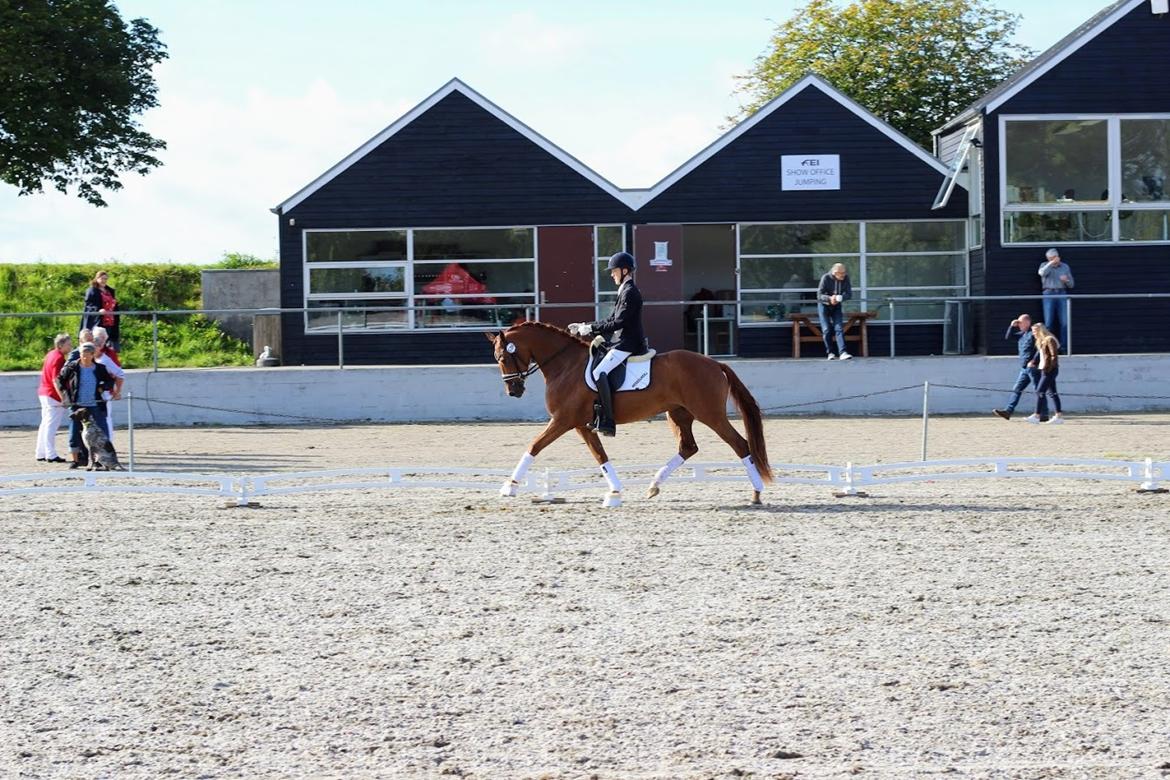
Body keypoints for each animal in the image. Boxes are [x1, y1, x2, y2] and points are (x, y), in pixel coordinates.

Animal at [486, 322, 772, 507]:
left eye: (502, 357)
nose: (513, 390)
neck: (564, 365)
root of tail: (715, 363)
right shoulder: (582, 425)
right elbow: (600, 456)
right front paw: (614, 492)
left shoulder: (563, 420)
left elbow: (534, 446)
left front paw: (509, 486)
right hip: (678, 414)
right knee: (688, 447)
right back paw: (654, 485)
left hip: (710, 414)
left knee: (740, 444)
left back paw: (756, 493)